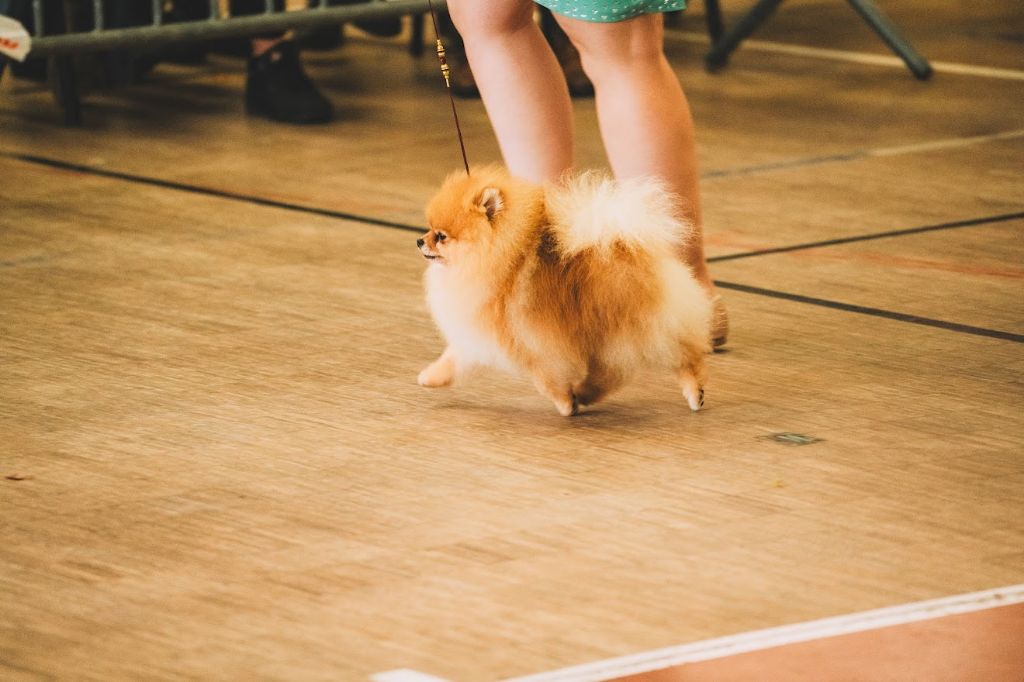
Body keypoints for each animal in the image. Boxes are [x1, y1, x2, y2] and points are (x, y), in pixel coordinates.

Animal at [416, 165, 712, 416]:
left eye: (441, 236)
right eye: (429, 228)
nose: (420, 240)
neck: (500, 258)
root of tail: (626, 245)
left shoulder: (530, 343)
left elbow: (545, 379)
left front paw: (565, 404)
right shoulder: (480, 334)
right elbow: (454, 359)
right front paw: (431, 377)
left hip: (620, 333)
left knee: (635, 368)